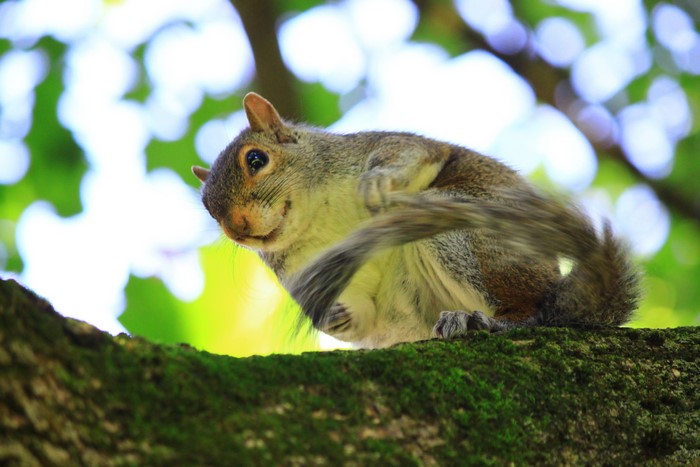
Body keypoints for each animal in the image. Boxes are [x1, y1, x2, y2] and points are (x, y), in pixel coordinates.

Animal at [192, 92, 641, 349]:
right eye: (207, 208)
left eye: (256, 159)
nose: (237, 229)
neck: (319, 218)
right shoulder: (310, 273)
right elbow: (359, 316)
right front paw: (333, 315)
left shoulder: (386, 148)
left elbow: (412, 154)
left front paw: (376, 183)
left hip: (465, 236)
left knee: (530, 312)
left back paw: (487, 321)